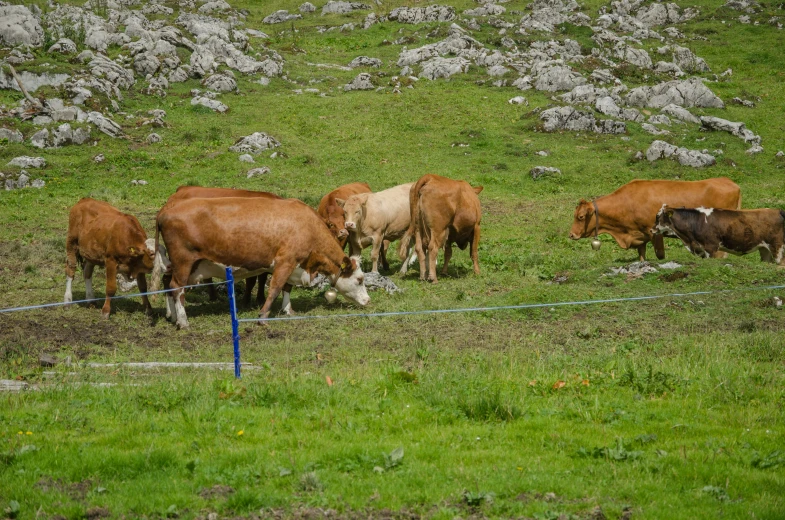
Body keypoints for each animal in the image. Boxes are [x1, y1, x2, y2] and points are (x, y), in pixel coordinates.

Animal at [158, 197, 372, 328]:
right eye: (360, 279)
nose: (368, 301)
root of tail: (166, 209)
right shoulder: (285, 261)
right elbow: (275, 288)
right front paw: (262, 317)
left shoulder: (294, 264)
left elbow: (287, 287)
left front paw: (288, 309)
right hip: (184, 261)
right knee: (177, 287)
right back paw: (183, 321)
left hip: (183, 265)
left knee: (167, 282)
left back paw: (172, 316)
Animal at [568, 178, 740, 260]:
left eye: (581, 217)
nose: (571, 235)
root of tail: (730, 182)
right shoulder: (639, 235)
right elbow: (641, 255)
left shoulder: (654, 232)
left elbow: (660, 255)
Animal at [648, 206, 784, 264]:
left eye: (658, 216)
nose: (651, 230)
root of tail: (777, 210)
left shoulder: (711, 247)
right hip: (764, 249)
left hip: (777, 246)